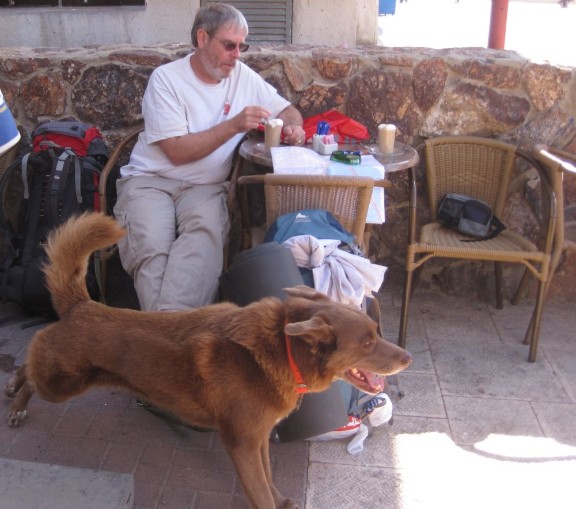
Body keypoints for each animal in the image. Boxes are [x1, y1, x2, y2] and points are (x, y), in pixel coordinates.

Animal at [3, 212, 410, 508]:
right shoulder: (242, 443)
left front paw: (282, 500)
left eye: (376, 332)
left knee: (28, 366)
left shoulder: (258, 439)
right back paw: (17, 400)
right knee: (30, 367)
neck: (279, 349)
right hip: (62, 384)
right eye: (367, 341)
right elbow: (260, 491)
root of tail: (81, 304)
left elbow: (269, 479)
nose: (407, 358)